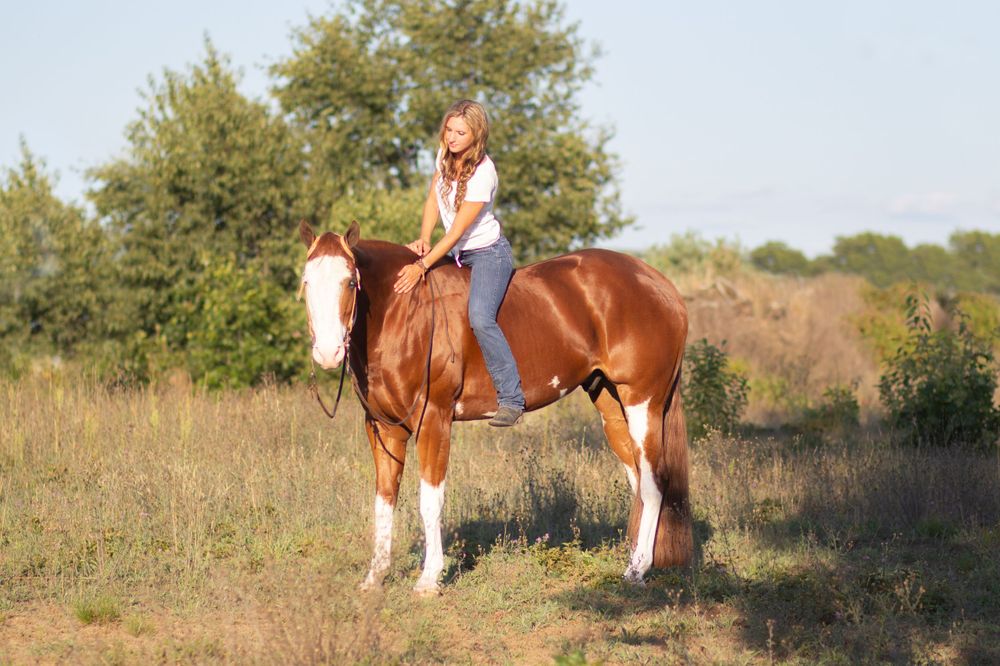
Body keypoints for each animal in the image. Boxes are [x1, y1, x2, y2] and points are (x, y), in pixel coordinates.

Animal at [297, 220, 691, 592]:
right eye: (306, 282)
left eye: (351, 282)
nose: (329, 353)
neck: (404, 312)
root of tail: (661, 285)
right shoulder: (384, 428)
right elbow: (383, 500)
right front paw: (375, 577)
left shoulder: (434, 421)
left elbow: (430, 500)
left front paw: (429, 578)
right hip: (610, 403)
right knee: (638, 480)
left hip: (643, 401)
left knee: (654, 482)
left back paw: (637, 570)